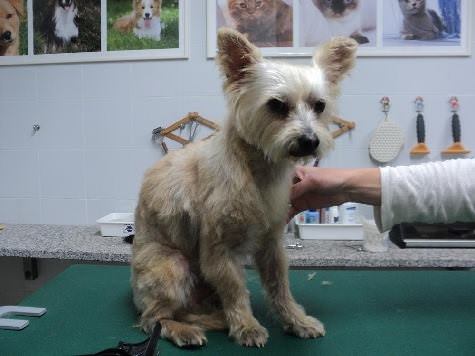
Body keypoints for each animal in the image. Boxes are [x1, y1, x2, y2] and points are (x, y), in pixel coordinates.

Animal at [132, 28, 356, 348]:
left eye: (320, 105)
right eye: (276, 105)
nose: (310, 141)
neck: (259, 171)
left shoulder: (272, 245)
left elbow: (280, 288)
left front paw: (295, 321)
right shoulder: (218, 252)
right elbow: (236, 292)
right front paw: (247, 326)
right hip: (173, 266)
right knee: (153, 319)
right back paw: (183, 330)